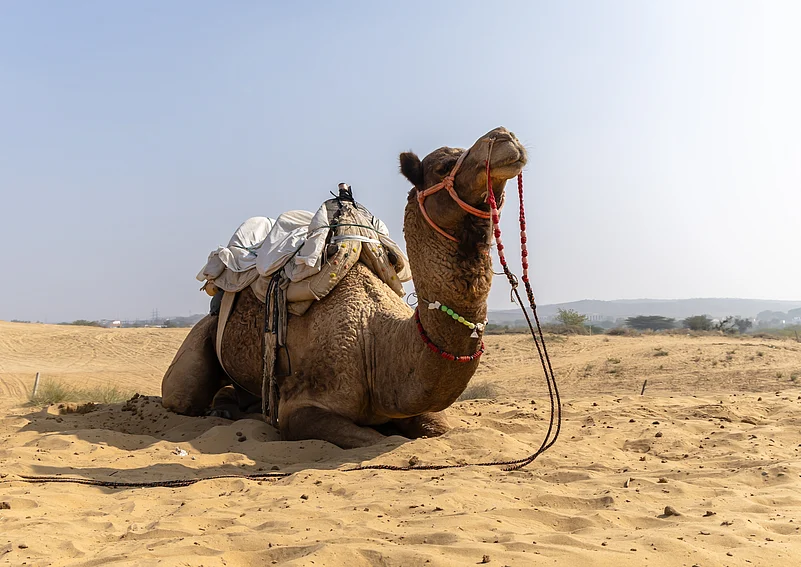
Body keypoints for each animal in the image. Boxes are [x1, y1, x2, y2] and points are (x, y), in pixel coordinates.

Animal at [161, 127, 527, 448]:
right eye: (443, 166)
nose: (505, 136)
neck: (378, 344)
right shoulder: (301, 408)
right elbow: (373, 439)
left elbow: (438, 429)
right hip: (198, 344)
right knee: (183, 395)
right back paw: (221, 409)